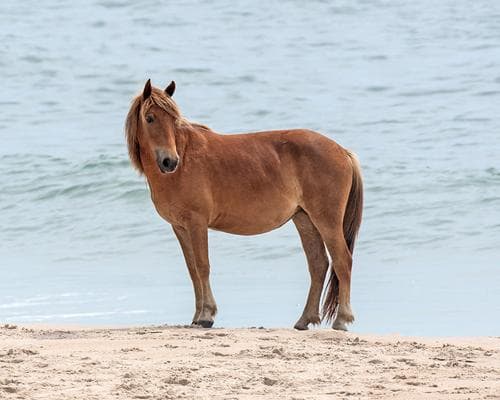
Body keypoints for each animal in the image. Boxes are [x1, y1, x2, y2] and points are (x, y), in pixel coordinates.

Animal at [123, 79, 362, 332]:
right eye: (150, 118)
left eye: (173, 120)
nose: (170, 161)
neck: (185, 159)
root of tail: (342, 151)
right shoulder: (179, 227)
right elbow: (192, 270)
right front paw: (197, 316)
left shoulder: (197, 223)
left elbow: (202, 266)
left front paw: (206, 315)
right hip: (304, 219)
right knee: (318, 264)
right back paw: (304, 320)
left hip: (326, 220)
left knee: (342, 261)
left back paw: (342, 319)